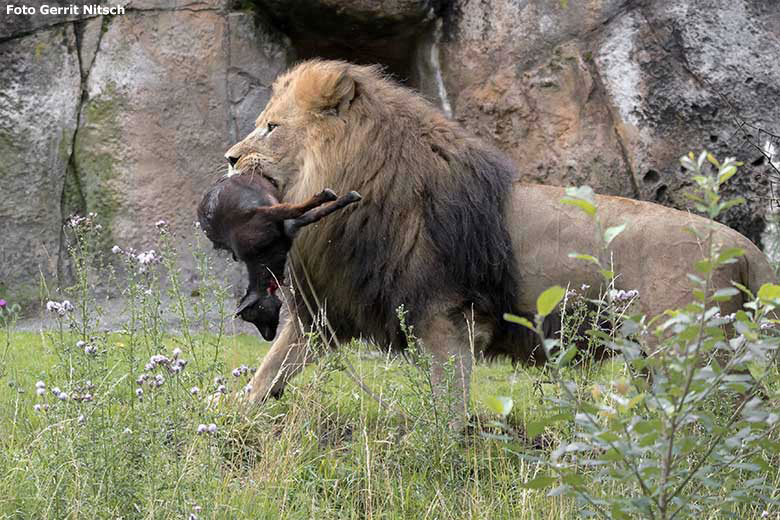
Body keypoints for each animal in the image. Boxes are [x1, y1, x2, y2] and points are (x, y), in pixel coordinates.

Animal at [222, 59, 776, 420]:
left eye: (270, 127)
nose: (229, 158)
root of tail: (747, 249)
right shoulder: (329, 308)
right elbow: (272, 368)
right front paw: (234, 414)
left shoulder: (447, 316)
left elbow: (448, 403)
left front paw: (438, 450)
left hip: (692, 356)